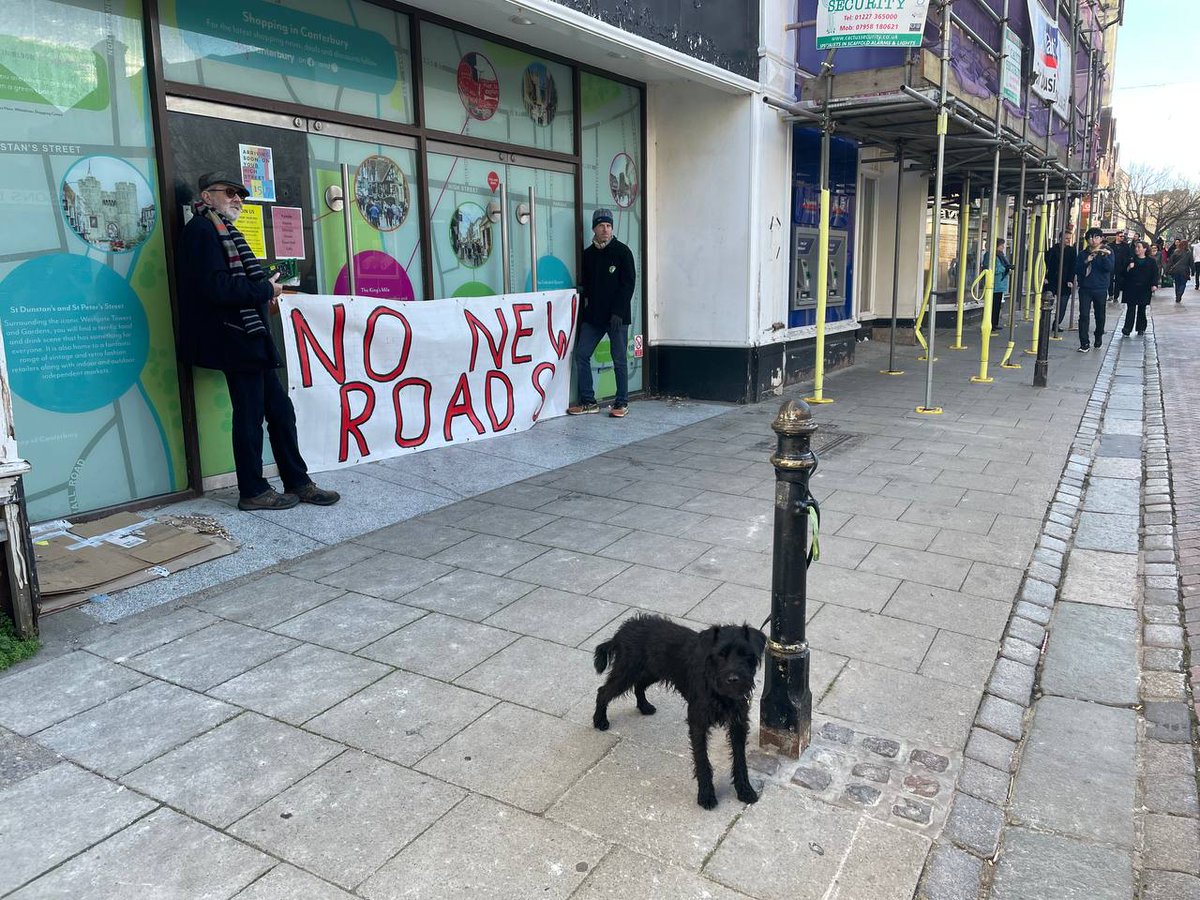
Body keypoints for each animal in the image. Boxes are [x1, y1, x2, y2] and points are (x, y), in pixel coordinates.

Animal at [590, 619, 768, 816]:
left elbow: (740, 760)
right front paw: (706, 795)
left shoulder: (738, 724)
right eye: (721, 654)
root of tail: (622, 631)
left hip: (651, 671)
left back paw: (644, 707)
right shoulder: (697, 723)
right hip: (627, 672)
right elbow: (702, 760)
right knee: (603, 691)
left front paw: (745, 790)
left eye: (746, 654)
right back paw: (600, 720)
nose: (733, 679)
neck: (718, 690)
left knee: (639, 685)